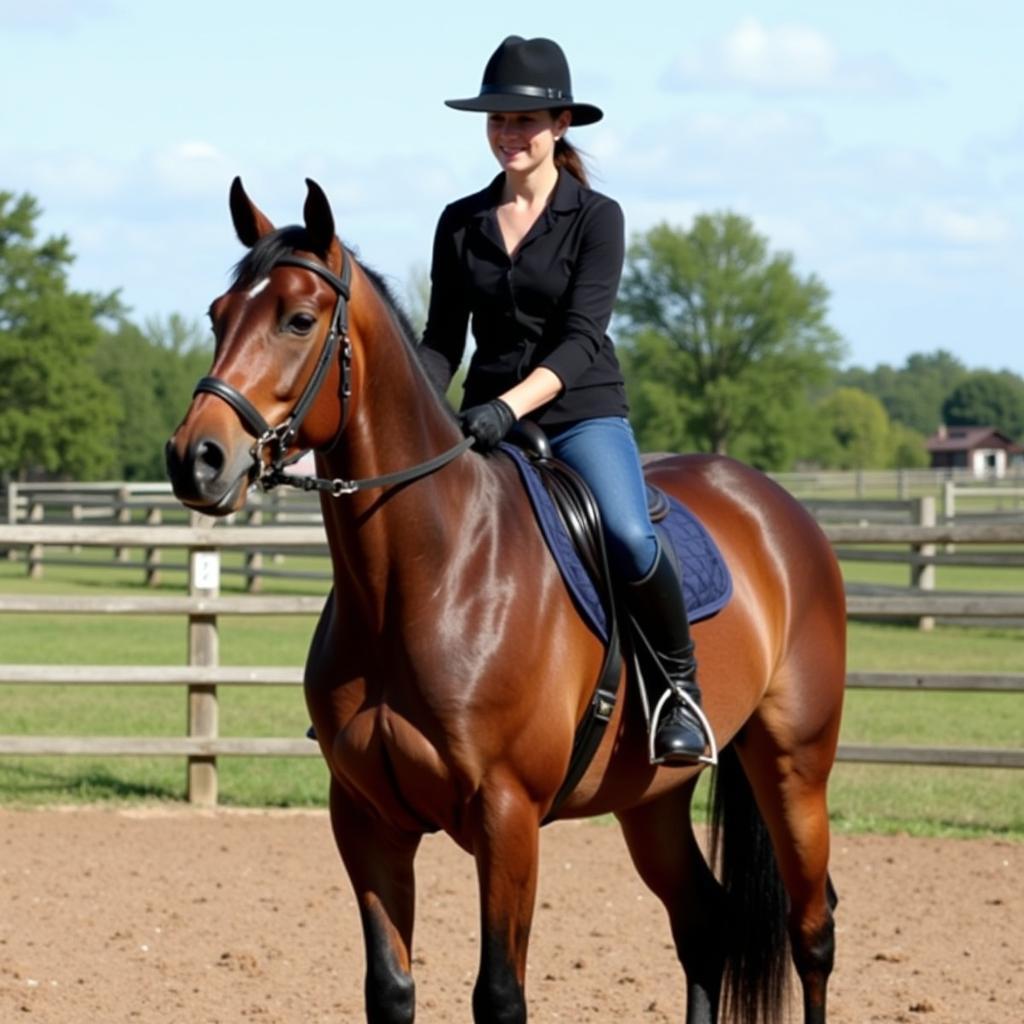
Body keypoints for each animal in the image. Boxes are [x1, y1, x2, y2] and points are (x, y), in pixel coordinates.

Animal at [165, 178, 847, 1024]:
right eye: (218, 314)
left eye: (297, 319)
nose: (195, 458)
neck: (429, 577)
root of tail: (777, 508)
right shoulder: (365, 819)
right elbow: (390, 989)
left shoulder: (508, 815)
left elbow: (499, 994)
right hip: (651, 797)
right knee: (704, 921)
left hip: (795, 766)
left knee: (811, 931)